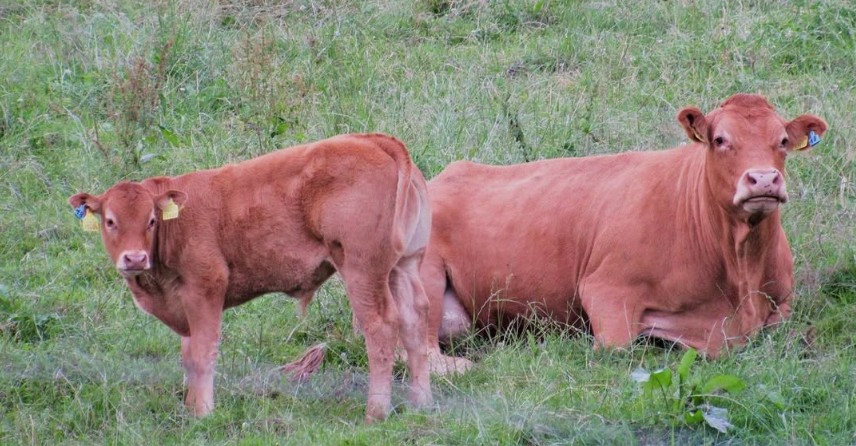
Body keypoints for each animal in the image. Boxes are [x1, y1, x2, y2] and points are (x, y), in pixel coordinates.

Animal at [68, 133, 433, 422]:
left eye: (151, 221)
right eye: (110, 221)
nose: (135, 258)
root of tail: (373, 140)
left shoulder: (206, 289)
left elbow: (202, 352)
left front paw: (203, 412)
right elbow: (188, 355)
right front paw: (189, 407)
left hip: (362, 270)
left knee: (381, 327)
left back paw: (376, 413)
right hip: (403, 266)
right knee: (415, 323)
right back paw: (420, 404)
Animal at [421, 94, 827, 372]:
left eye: (783, 141)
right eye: (720, 140)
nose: (763, 179)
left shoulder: (782, 301)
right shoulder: (605, 290)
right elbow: (623, 348)